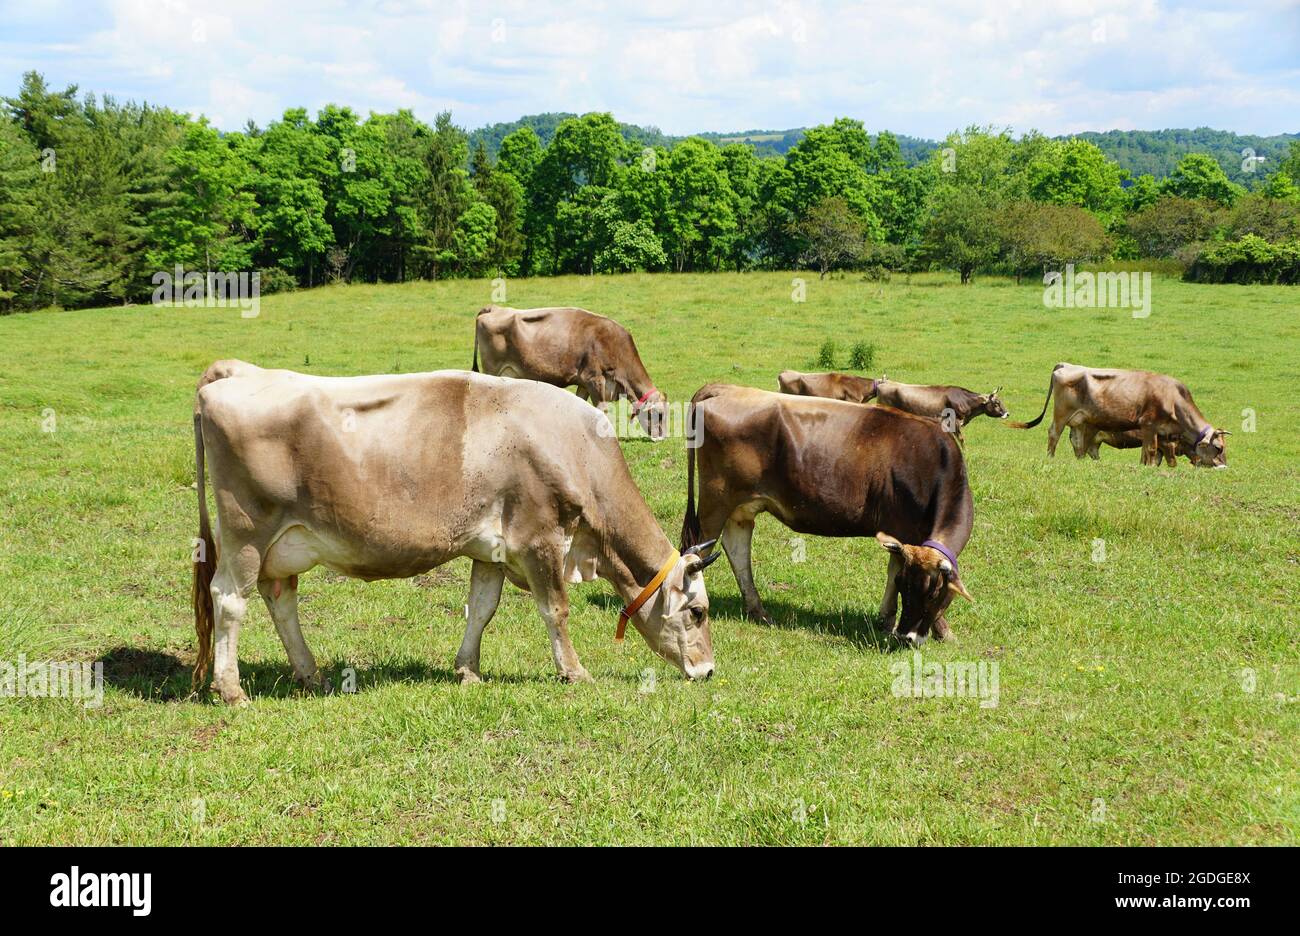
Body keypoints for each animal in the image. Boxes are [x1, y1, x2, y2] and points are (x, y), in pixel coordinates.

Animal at [190, 360, 720, 706]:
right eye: (697, 612)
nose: (708, 671)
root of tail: (235, 373)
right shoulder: (540, 538)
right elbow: (556, 609)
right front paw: (574, 671)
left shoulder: (492, 549)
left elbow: (482, 608)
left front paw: (468, 670)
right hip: (247, 533)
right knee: (229, 599)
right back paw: (232, 690)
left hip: (283, 543)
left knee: (280, 599)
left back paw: (311, 675)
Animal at [472, 305, 669, 439]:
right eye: (659, 414)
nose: (663, 437)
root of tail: (494, 308)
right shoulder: (595, 379)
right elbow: (602, 410)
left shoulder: (584, 383)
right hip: (491, 370)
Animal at [679, 384, 974, 646]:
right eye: (908, 588)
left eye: (933, 594)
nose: (907, 637)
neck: (932, 465)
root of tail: (725, 388)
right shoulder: (901, 528)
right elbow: (895, 568)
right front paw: (939, 630)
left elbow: (892, 568)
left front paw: (888, 621)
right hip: (715, 501)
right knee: (699, 550)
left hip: (741, 507)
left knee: (736, 547)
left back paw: (759, 612)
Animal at [1011, 363, 1228, 468]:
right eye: (1218, 447)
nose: (1224, 466)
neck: (1174, 399)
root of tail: (1065, 365)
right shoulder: (1150, 426)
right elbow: (1152, 451)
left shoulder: (1157, 434)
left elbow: (1146, 453)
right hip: (1062, 414)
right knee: (1054, 434)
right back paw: (1051, 458)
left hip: (1080, 421)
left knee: (1078, 444)